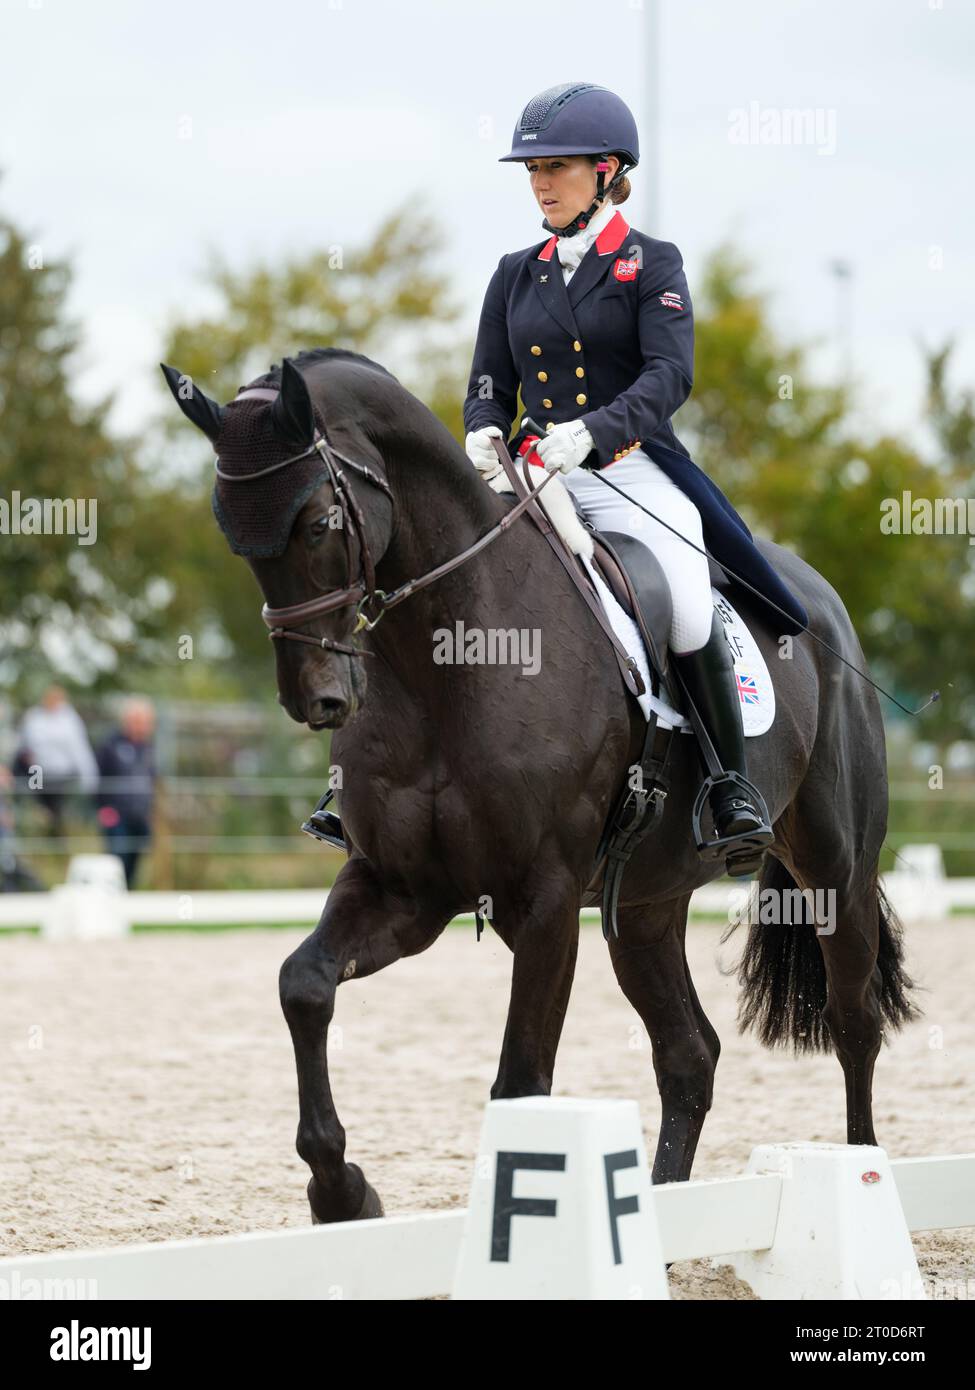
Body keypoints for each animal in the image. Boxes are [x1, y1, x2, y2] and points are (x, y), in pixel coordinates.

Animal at [159, 347, 912, 1217]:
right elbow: (304, 985)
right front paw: (342, 1192)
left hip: (833, 870)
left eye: (319, 523)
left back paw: (863, 1176)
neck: (448, 656)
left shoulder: (545, 902)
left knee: (852, 1022)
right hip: (646, 905)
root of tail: (822, 604)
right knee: (688, 1053)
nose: (316, 699)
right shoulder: (402, 888)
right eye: (233, 535)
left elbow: (520, 1082)